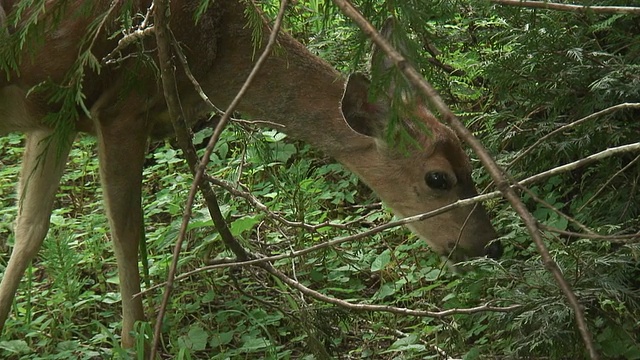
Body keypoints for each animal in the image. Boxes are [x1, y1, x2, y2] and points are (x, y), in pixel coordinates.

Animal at [0, 0, 500, 350]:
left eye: (471, 160)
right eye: (438, 179)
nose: (490, 245)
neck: (217, 49)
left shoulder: (56, 117)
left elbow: (28, 230)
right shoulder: (126, 105)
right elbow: (125, 237)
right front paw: (135, 341)